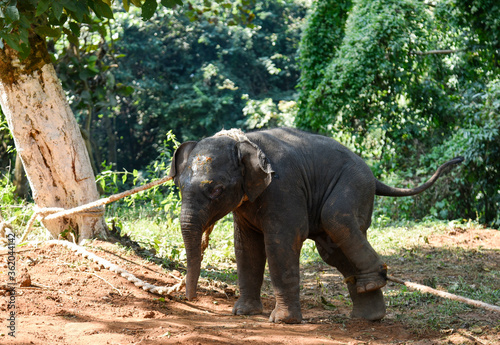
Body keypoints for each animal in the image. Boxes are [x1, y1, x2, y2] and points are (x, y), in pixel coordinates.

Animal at [169, 126, 464, 322]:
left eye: (216, 190)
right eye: (179, 186)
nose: (189, 299)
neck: (246, 142)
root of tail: (373, 175)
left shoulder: (283, 188)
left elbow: (281, 241)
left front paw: (282, 320)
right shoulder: (247, 203)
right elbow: (246, 248)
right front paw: (244, 313)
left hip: (353, 183)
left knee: (337, 219)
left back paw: (372, 282)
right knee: (333, 248)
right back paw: (368, 314)